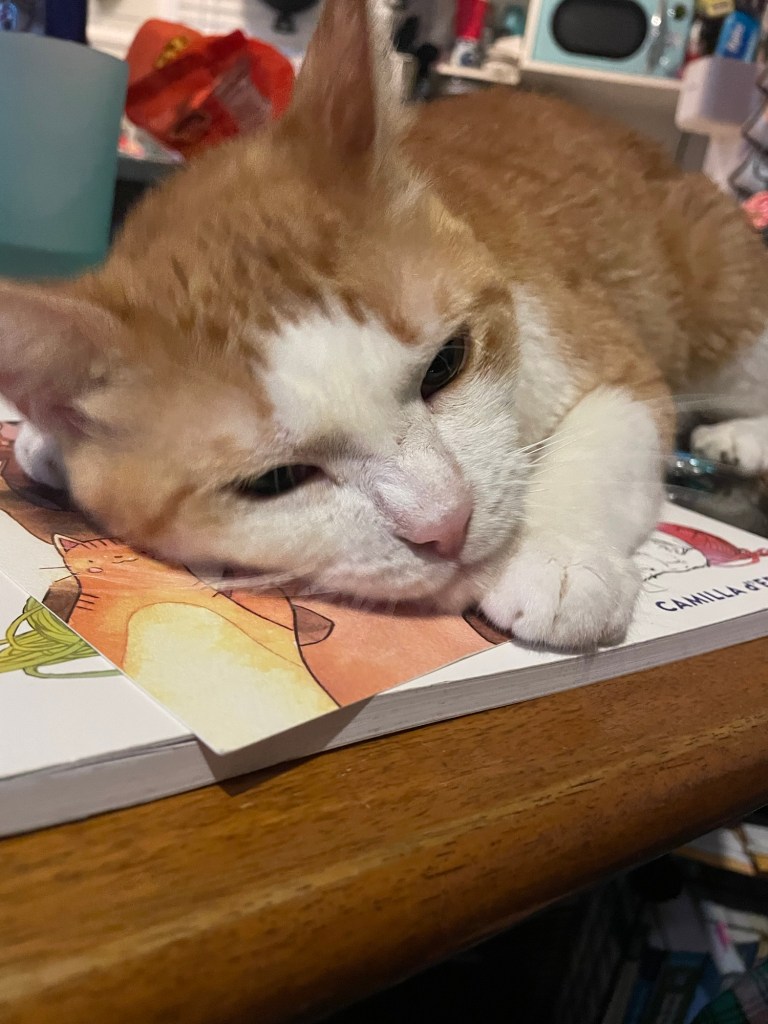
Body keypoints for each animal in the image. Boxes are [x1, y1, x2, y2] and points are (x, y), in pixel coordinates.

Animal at [1, 0, 767, 651]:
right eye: (276, 481)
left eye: (446, 363)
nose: (446, 524)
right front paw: (47, 438)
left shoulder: (604, 350)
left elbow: (607, 438)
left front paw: (558, 554)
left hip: (719, 285)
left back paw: (740, 436)